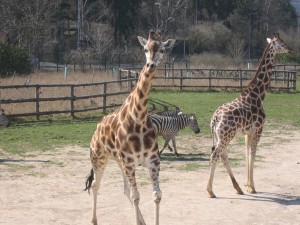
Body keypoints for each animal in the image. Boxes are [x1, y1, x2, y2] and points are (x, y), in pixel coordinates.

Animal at [83, 29, 175, 225]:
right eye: (145, 48)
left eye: (162, 50)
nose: (151, 65)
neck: (138, 117)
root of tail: (96, 129)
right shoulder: (130, 162)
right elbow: (136, 196)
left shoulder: (152, 161)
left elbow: (156, 195)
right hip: (99, 158)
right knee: (95, 185)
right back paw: (93, 220)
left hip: (119, 162)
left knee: (124, 189)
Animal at [207, 32, 292, 198]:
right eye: (282, 43)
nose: (290, 49)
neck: (258, 95)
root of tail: (215, 119)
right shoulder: (258, 129)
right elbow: (253, 155)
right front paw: (252, 187)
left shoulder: (248, 132)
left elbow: (247, 155)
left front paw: (248, 186)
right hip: (226, 136)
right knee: (215, 155)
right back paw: (210, 191)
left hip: (221, 136)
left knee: (223, 156)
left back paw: (238, 188)